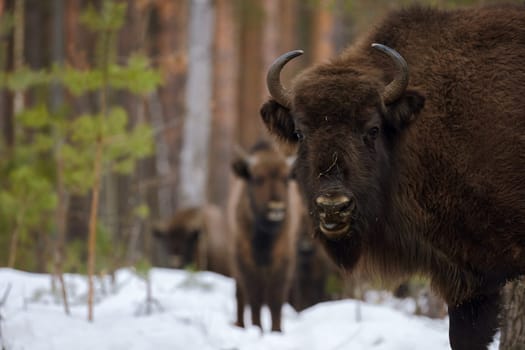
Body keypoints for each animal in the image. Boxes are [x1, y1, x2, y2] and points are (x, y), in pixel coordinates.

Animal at [228, 139, 300, 330]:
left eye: (285, 178)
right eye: (258, 178)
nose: (276, 208)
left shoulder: (283, 258)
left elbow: (275, 299)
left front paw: (277, 331)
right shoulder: (245, 259)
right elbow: (255, 298)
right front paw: (257, 328)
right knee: (240, 294)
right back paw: (240, 325)